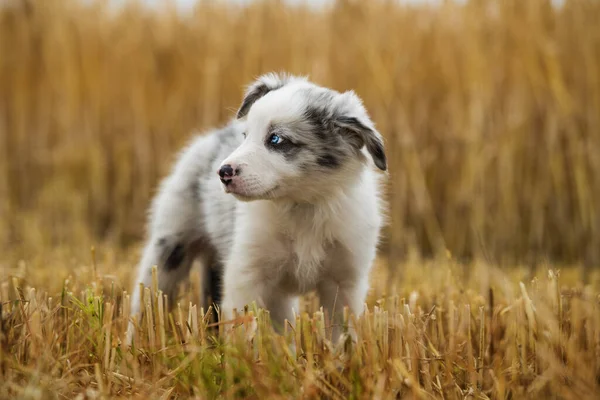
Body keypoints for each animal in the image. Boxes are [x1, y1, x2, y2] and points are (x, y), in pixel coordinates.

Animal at [127, 73, 390, 346]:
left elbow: (341, 338)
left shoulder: (345, 282)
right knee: (146, 302)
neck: (303, 206)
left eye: (276, 139)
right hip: (170, 246)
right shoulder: (246, 274)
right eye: (245, 136)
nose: (223, 173)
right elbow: (242, 333)